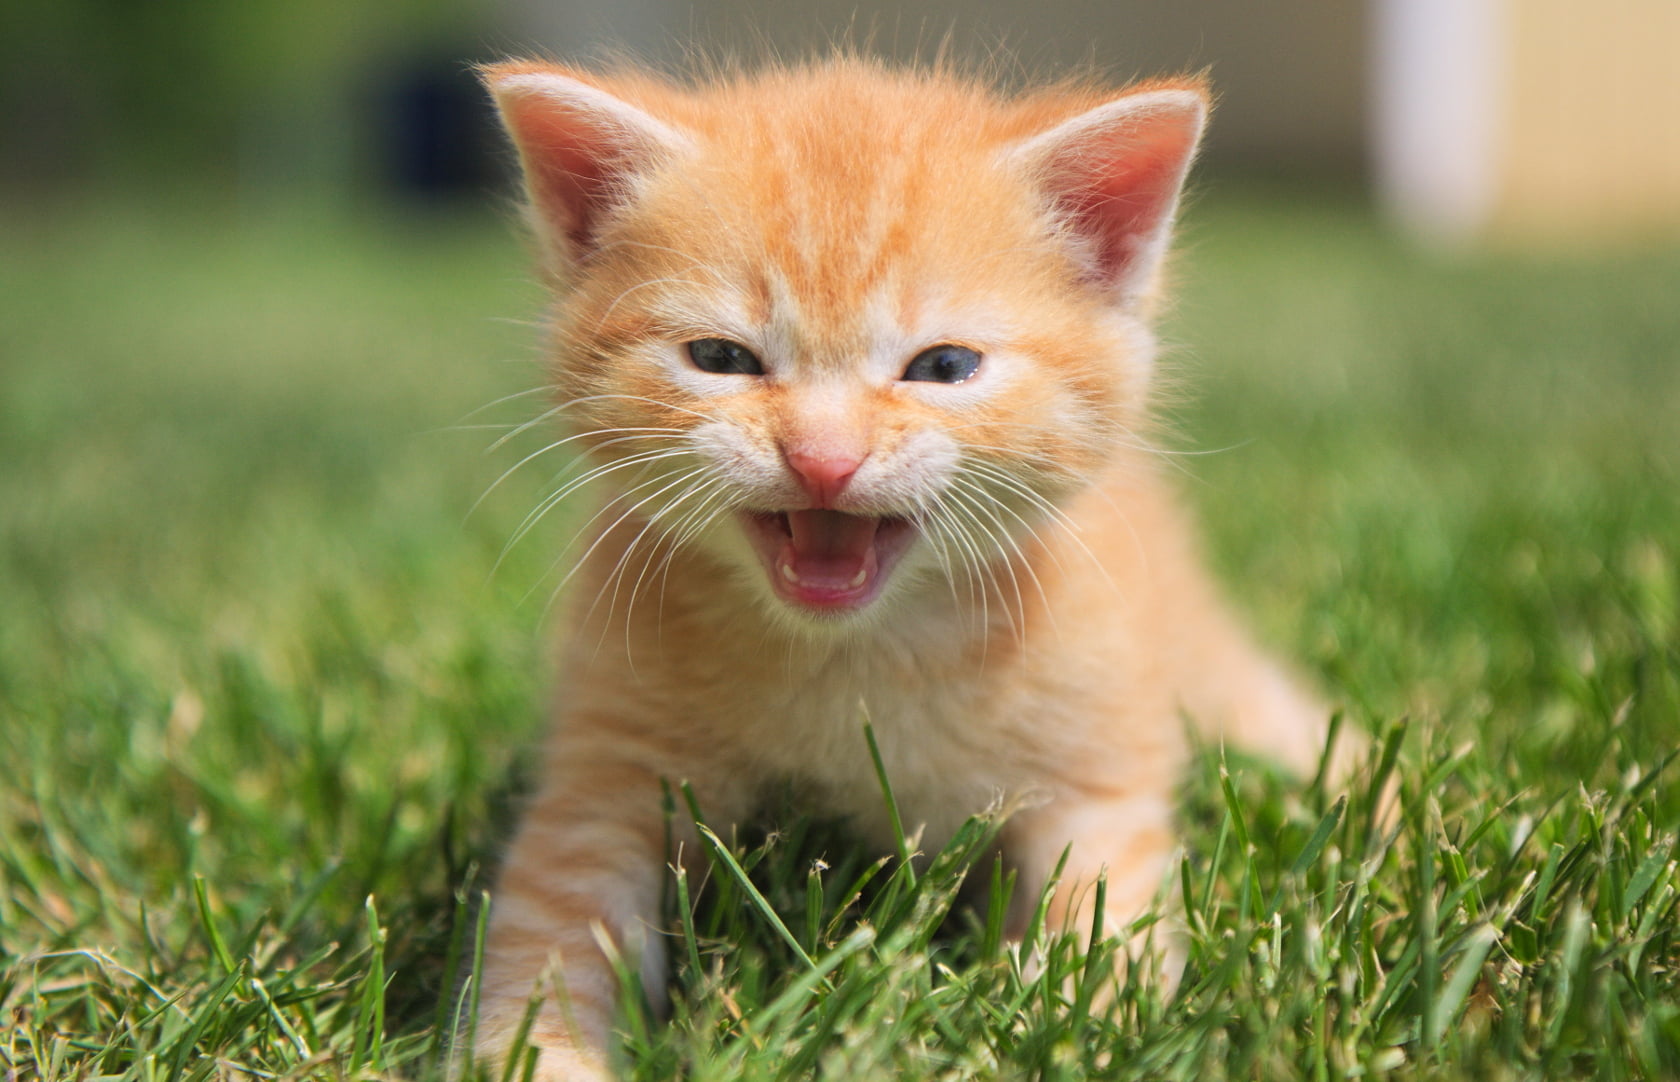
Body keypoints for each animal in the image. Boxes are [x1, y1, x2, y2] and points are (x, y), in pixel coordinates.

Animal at [470, 57, 1323, 1075]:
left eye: (944, 367)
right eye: (720, 357)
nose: (823, 460)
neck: (862, 655)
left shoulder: (1100, 768)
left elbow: (1106, 911)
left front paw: (1068, 1017)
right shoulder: (608, 766)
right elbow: (551, 929)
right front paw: (540, 1050)